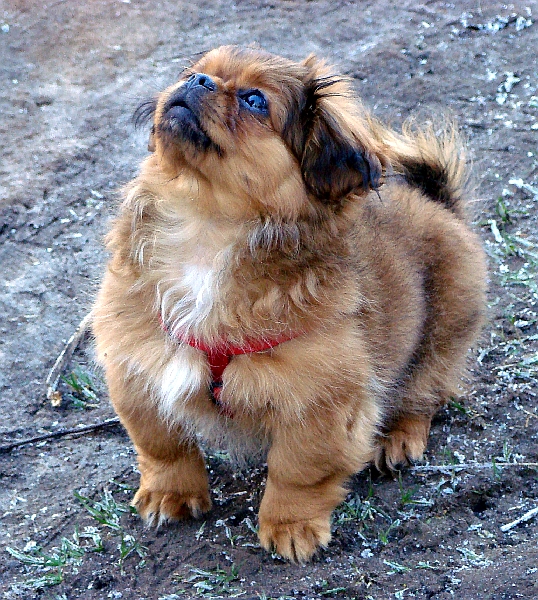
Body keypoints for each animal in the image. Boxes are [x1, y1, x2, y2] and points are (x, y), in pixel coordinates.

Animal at [92, 45, 486, 564]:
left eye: (255, 100)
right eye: (192, 72)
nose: (196, 82)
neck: (205, 228)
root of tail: (441, 205)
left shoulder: (317, 402)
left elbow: (296, 472)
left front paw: (290, 526)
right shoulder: (138, 365)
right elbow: (162, 445)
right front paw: (170, 494)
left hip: (441, 336)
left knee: (424, 393)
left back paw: (399, 437)